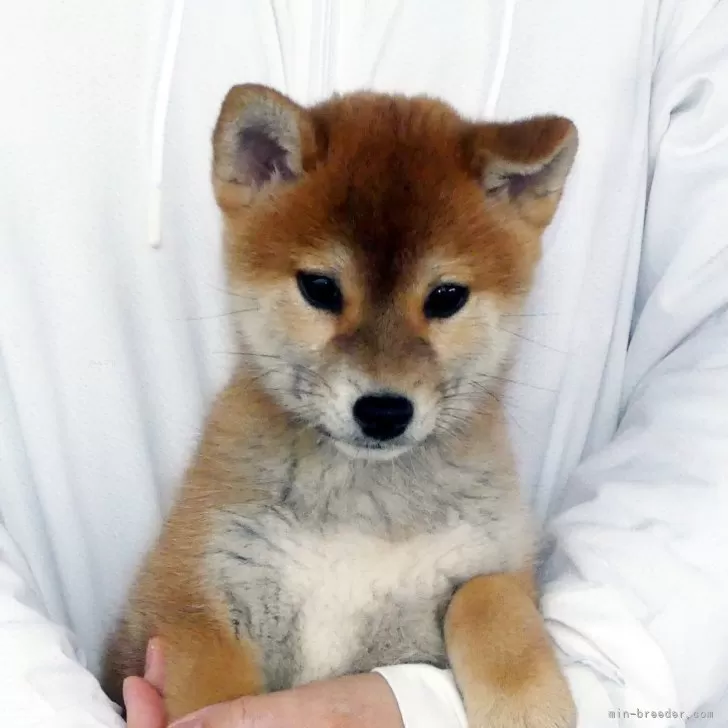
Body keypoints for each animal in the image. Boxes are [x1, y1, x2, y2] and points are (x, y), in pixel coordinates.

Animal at [104, 84, 580, 728]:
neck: (361, 510)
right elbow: (217, 697)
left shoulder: (496, 561)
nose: (383, 411)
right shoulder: (194, 603)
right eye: (320, 288)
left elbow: (488, 598)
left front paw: (529, 702)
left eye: (446, 296)